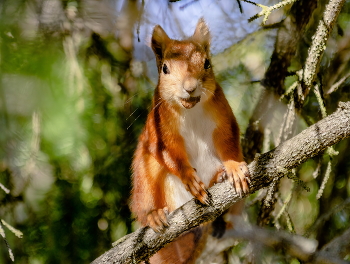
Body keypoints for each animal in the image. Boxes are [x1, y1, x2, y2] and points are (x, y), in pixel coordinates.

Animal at [131, 18, 249, 262]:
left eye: (207, 63)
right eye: (165, 69)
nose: (190, 87)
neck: (190, 110)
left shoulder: (224, 118)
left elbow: (229, 142)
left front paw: (233, 168)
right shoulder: (160, 129)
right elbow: (169, 153)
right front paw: (189, 178)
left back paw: (219, 177)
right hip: (145, 177)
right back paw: (153, 215)